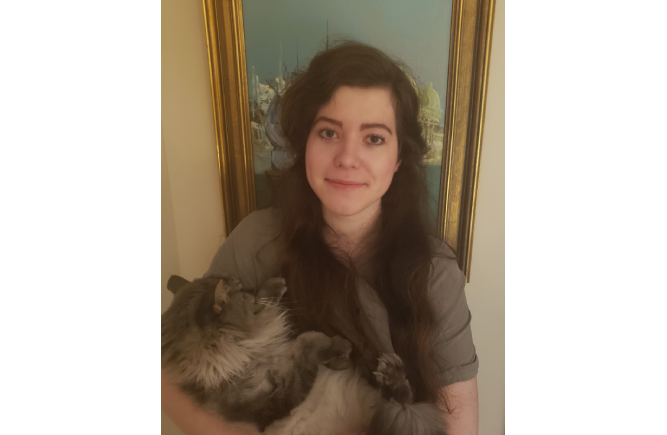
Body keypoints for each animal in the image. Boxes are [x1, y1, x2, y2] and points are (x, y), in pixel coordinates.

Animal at [161, 274, 446, 435]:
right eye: (242, 294)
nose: (250, 290)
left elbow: (290, 331)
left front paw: (274, 286)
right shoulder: (274, 403)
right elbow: (306, 342)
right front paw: (340, 349)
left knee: (402, 401)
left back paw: (390, 372)